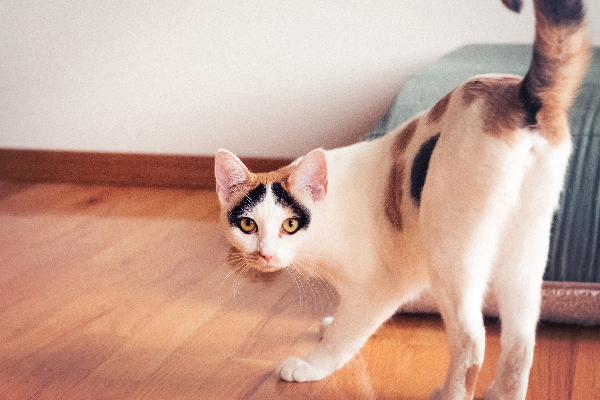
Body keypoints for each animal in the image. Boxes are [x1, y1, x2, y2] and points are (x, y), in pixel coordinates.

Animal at [212, 1, 592, 398]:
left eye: (290, 224)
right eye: (247, 225)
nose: (265, 255)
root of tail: (520, 94)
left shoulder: (378, 290)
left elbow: (346, 333)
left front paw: (312, 364)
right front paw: (328, 325)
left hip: (451, 254)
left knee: (472, 339)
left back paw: (450, 392)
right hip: (524, 250)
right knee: (521, 340)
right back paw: (503, 392)